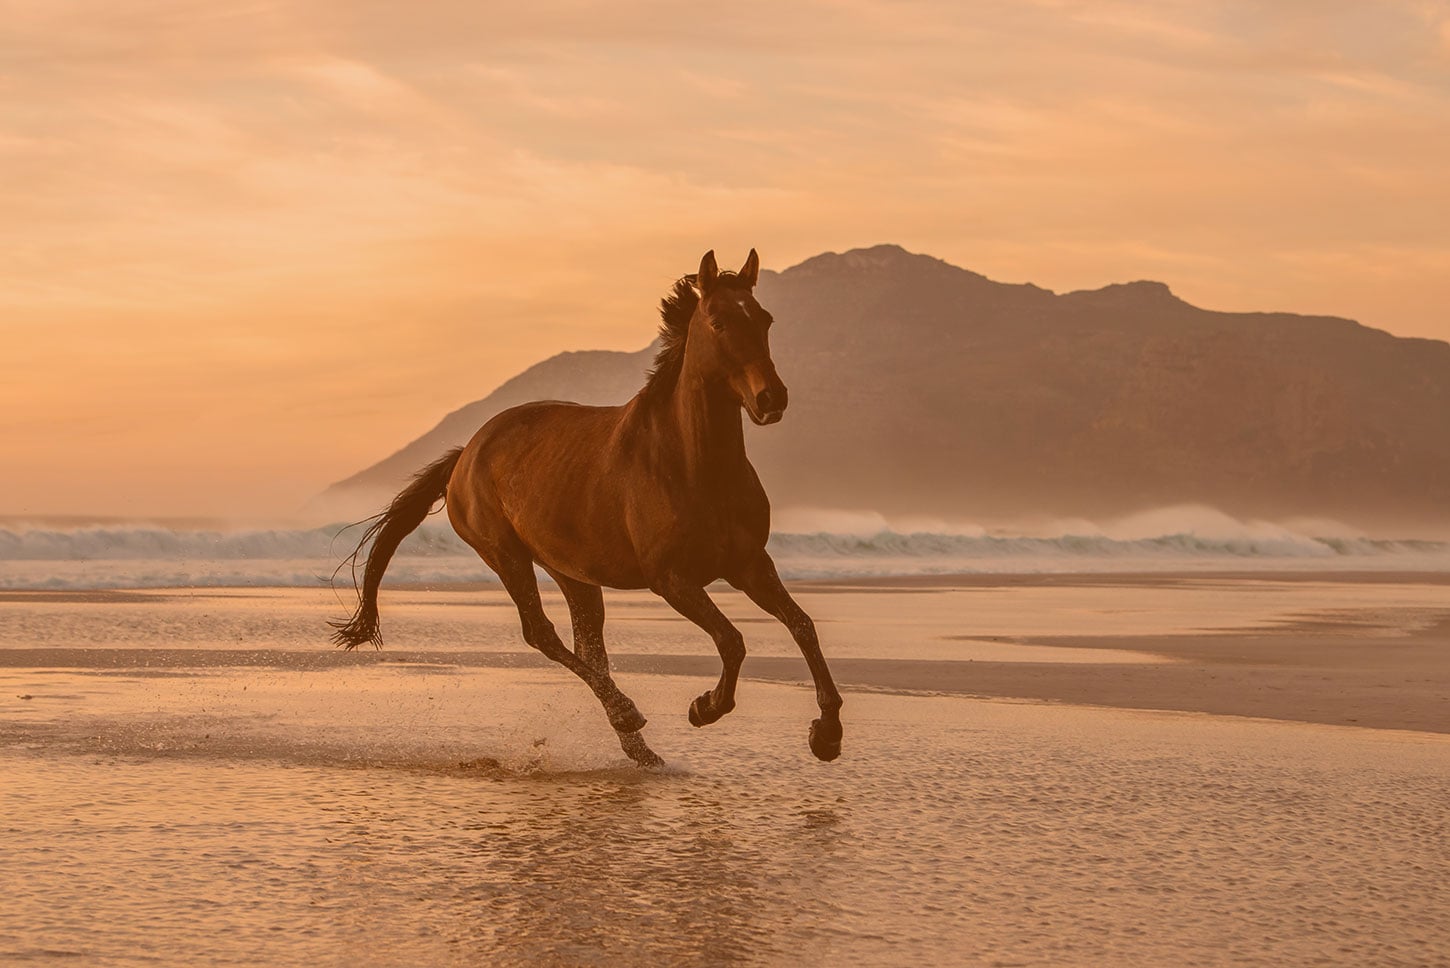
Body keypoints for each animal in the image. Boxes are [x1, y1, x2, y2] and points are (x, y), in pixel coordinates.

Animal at [331, 249, 843, 767]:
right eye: (718, 321)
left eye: (764, 319)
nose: (771, 397)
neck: (692, 463)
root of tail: (467, 453)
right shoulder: (671, 579)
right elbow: (732, 640)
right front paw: (706, 707)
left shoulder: (749, 564)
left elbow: (802, 626)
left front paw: (827, 734)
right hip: (506, 556)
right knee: (542, 634)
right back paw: (629, 715)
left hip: (572, 573)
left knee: (588, 645)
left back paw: (641, 750)